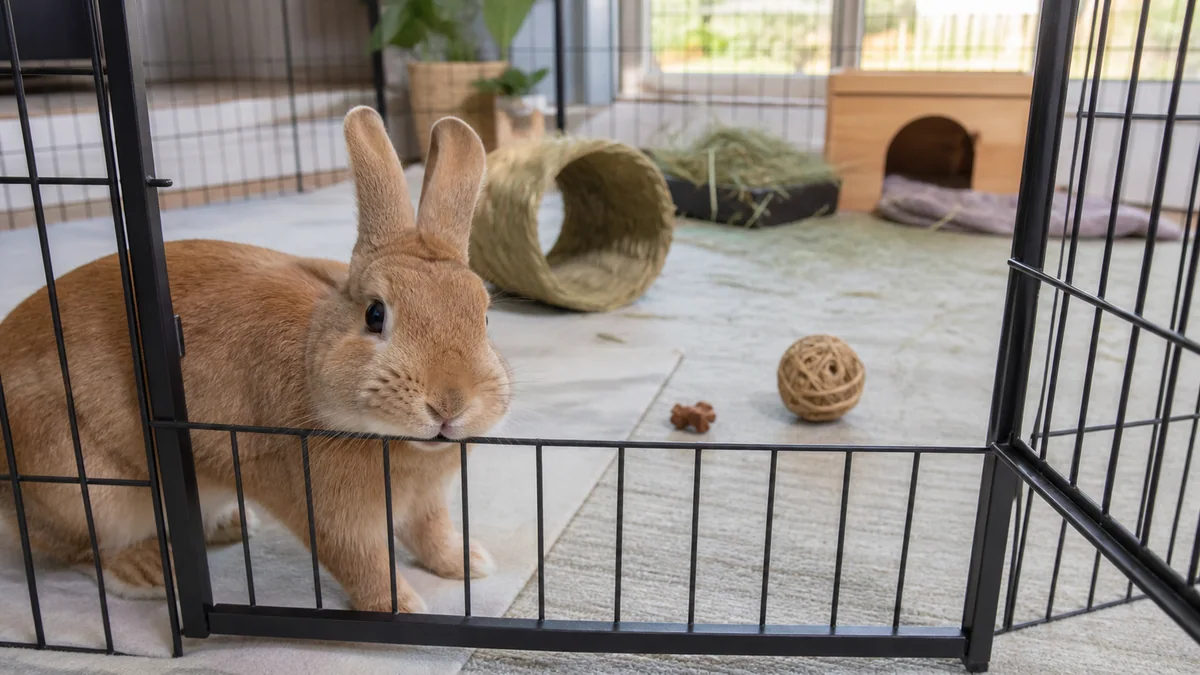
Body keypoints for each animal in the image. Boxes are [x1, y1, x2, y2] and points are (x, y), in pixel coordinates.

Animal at [0, 106, 512, 613]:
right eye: (375, 314)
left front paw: (469, 562)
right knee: (83, 551)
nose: (449, 404)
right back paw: (148, 571)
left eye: (484, 317)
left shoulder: (427, 501)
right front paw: (400, 608)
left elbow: (431, 532)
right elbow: (362, 565)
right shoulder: (329, 516)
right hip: (81, 486)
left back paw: (233, 524)